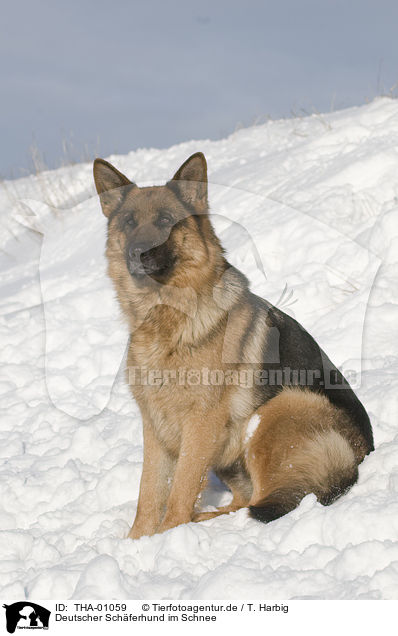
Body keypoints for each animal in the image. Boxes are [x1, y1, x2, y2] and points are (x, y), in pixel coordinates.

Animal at [93, 153, 374, 536]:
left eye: (166, 220)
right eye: (129, 222)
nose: (138, 252)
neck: (169, 317)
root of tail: (362, 455)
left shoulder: (201, 424)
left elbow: (180, 490)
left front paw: (167, 535)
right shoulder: (155, 425)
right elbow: (149, 494)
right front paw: (138, 540)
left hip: (277, 409)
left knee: (270, 500)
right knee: (245, 499)